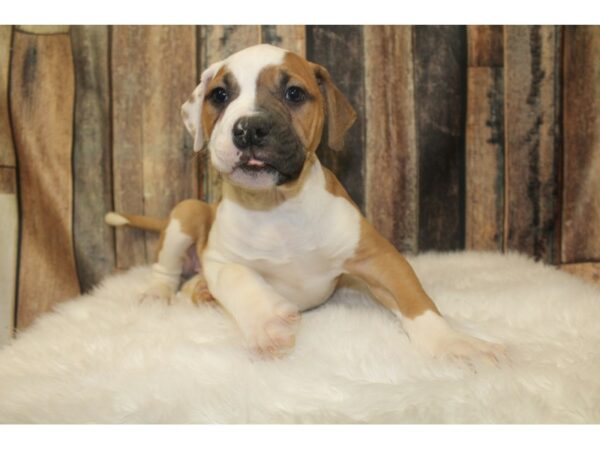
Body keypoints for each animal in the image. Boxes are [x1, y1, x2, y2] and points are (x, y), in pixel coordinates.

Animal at [106, 44, 506, 364]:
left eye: (294, 93)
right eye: (219, 95)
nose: (249, 129)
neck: (277, 207)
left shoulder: (379, 257)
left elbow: (416, 301)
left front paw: (454, 343)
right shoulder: (219, 259)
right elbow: (239, 278)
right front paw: (267, 323)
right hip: (187, 211)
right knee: (166, 267)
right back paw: (159, 293)